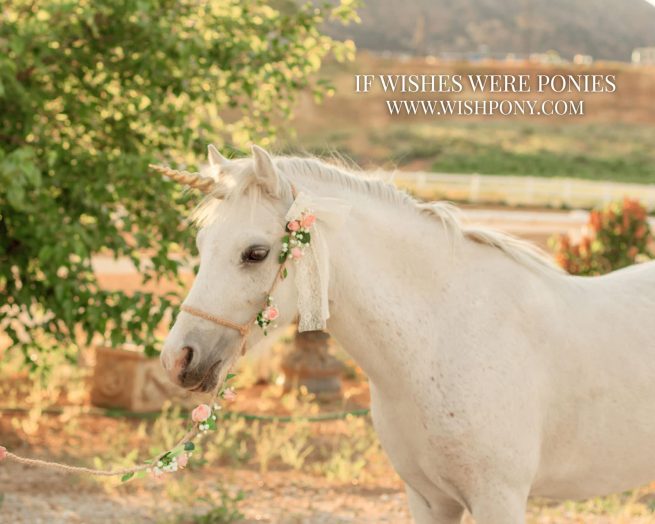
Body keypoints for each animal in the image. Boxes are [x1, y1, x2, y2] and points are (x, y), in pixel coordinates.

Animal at [156, 145, 655, 523]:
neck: (444, 339)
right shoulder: (429, 500)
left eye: (255, 253)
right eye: (201, 245)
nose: (178, 359)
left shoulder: (500, 500)